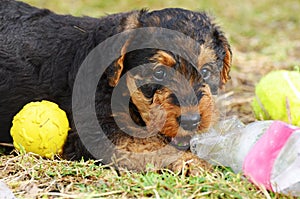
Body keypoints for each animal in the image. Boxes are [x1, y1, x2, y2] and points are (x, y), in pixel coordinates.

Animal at [0, 0, 232, 173]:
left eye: (205, 72)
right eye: (159, 73)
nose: (192, 121)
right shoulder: (97, 130)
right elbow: (152, 146)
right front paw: (197, 165)